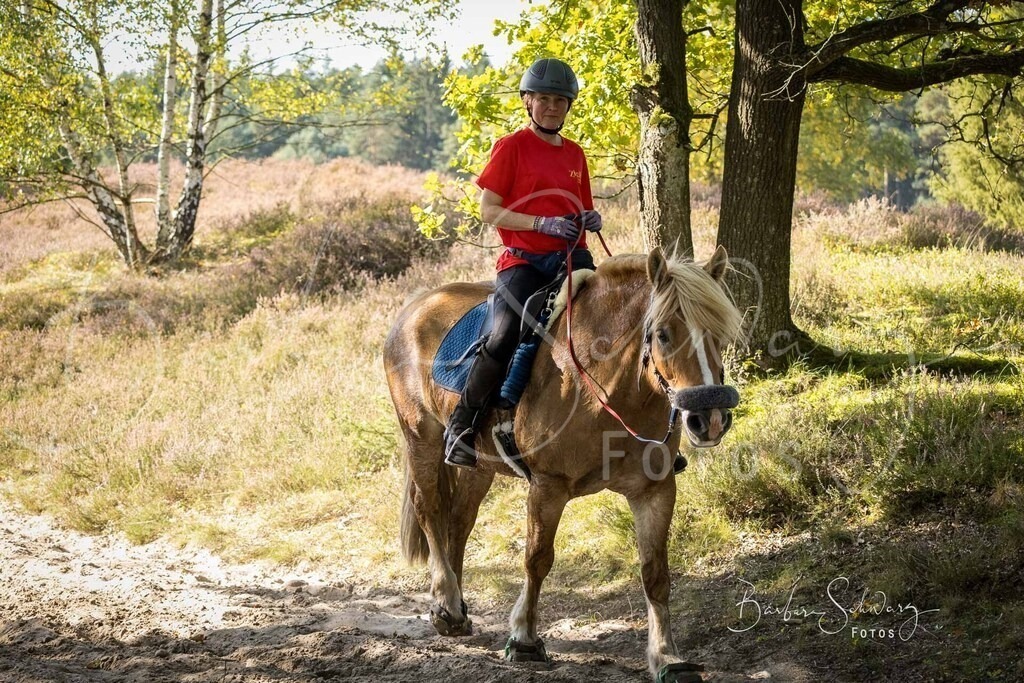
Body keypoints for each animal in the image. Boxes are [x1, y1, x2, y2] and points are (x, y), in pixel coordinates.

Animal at [383, 246, 743, 683]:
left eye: (720, 334)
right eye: (662, 333)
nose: (710, 418)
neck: (606, 386)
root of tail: (416, 304)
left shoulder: (655, 490)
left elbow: (655, 574)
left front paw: (666, 656)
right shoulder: (547, 486)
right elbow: (537, 559)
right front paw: (524, 639)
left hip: (477, 465)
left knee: (459, 520)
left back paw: (451, 608)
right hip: (421, 437)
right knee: (430, 509)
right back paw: (447, 604)